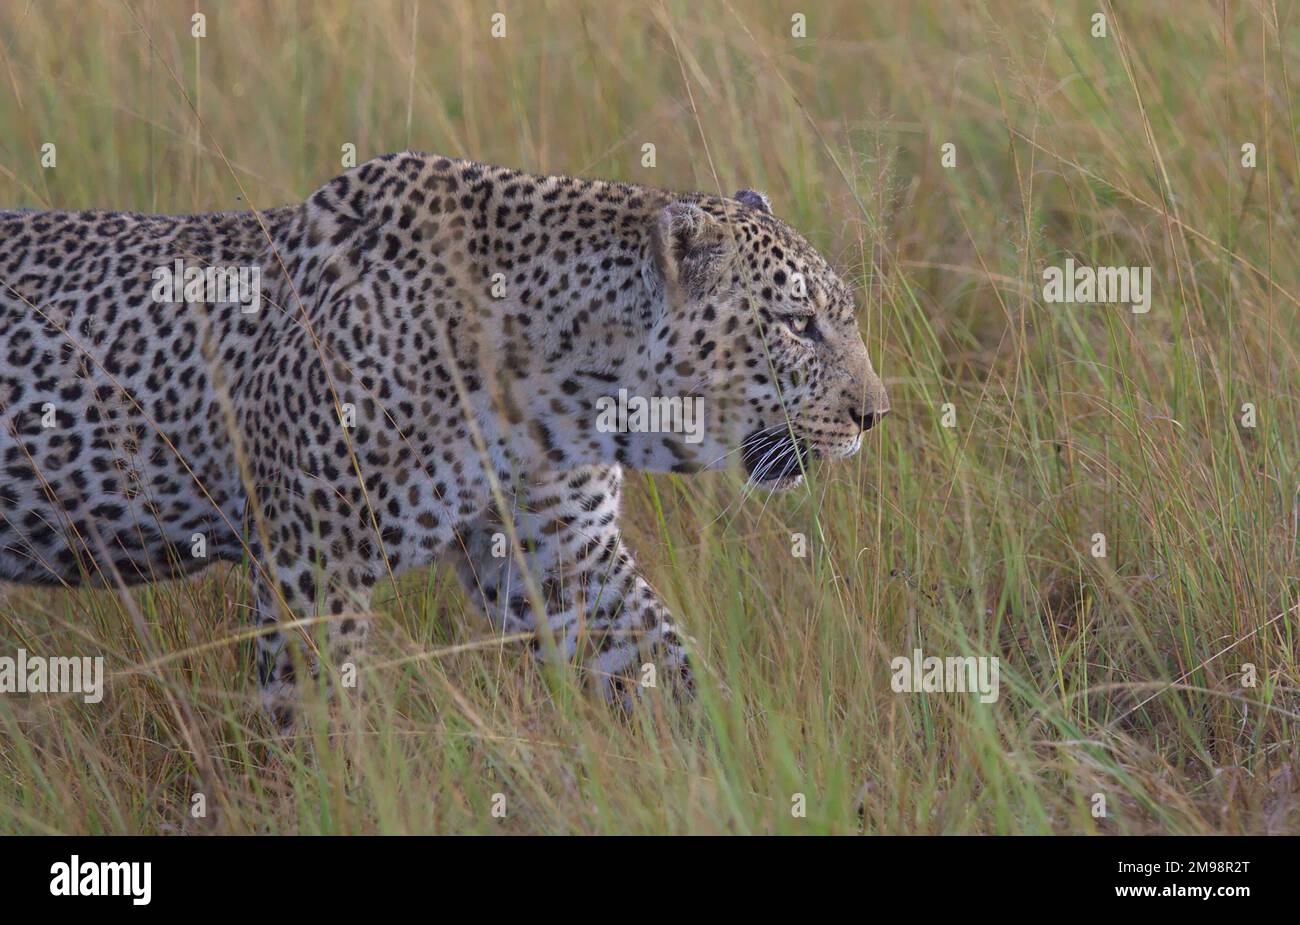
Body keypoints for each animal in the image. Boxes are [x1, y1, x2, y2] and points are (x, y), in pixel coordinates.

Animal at [0, 152, 889, 726]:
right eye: (796, 324)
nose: (875, 414)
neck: (569, 383)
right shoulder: (311, 564)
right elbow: (316, 724)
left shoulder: (563, 552)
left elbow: (668, 666)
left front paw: (748, 765)